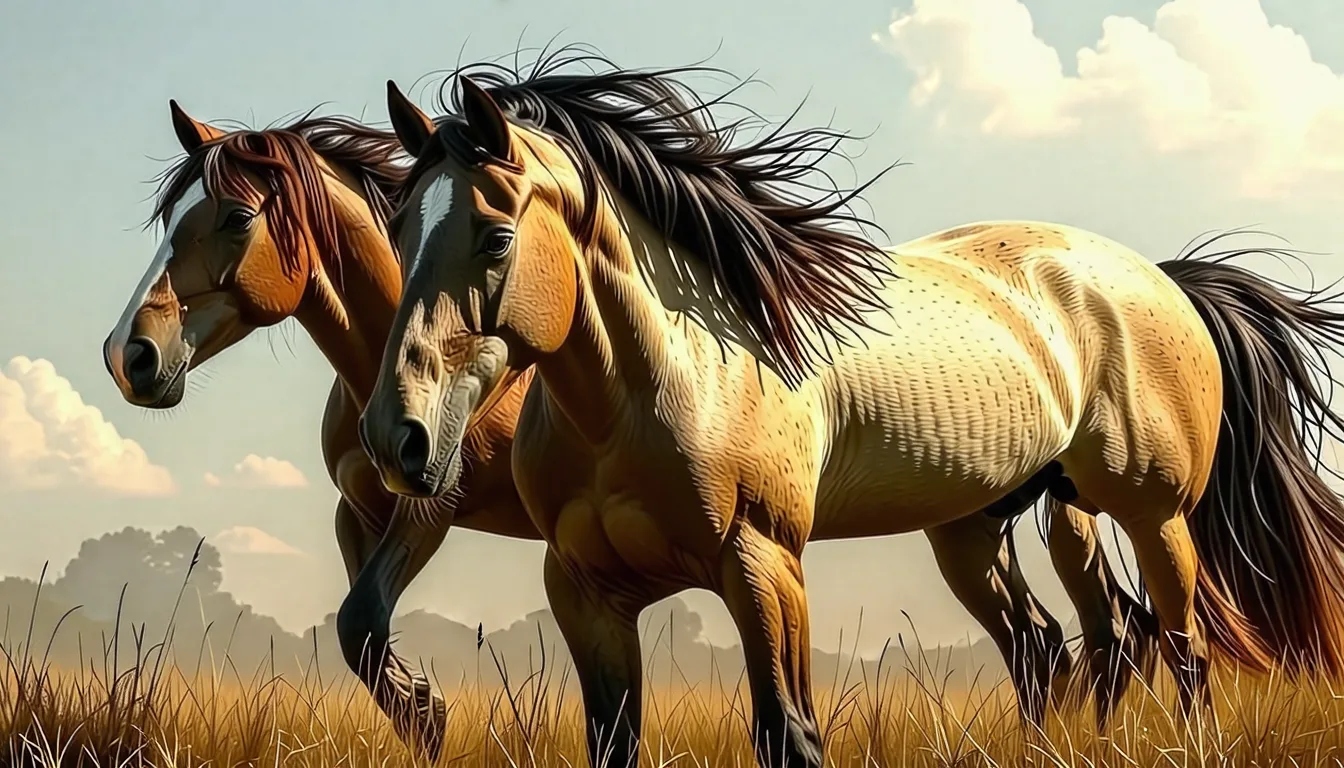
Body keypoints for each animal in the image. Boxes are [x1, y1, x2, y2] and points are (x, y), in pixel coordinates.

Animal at [98, 101, 542, 758]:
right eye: (168, 219)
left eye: (236, 216)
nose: (126, 356)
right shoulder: (357, 511)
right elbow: (364, 636)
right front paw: (423, 707)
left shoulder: (431, 506)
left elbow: (359, 623)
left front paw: (426, 706)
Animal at [359, 51, 1344, 768]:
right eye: (399, 229)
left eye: (495, 237)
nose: (395, 436)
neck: (658, 389)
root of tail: (1160, 280)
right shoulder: (585, 593)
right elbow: (614, 743)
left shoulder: (763, 565)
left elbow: (787, 734)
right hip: (987, 525)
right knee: (1058, 647)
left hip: (1152, 514)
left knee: (1181, 649)